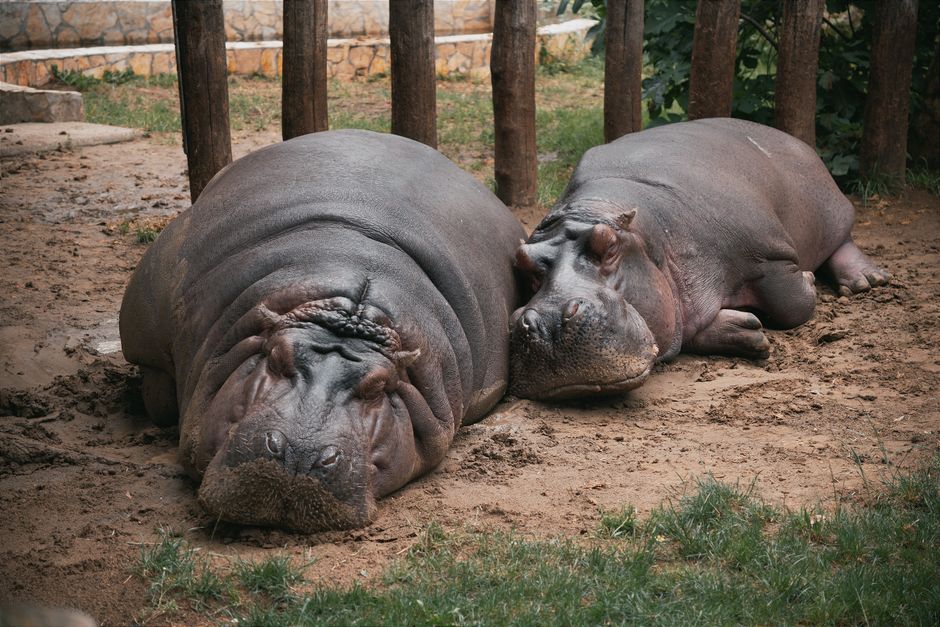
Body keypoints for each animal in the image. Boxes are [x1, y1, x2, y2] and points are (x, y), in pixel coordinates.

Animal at [510, 118, 889, 400]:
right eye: (523, 260)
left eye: (609, 245)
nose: (547, 323)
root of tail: (788, 137)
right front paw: (747, 331)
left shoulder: (771, 256)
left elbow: (793, 305)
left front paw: (807, 281)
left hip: (829, 210)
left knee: (842, 240)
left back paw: (867, 281)